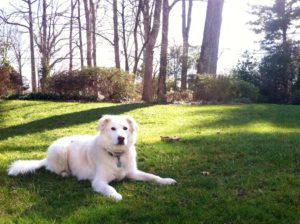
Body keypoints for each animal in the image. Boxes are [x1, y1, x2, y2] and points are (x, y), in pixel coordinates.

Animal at [7, 114, 176, 200]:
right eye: (112, 128)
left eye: (125, 128)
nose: (121, 138)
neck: (116, 155)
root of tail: (46, 157)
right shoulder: (99, 181)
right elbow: (110, 188)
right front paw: (116, 196)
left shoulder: (133, 173)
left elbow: (152, 176)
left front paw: (166, 181)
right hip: (61, 150)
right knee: (53, 169)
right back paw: (65, 173)